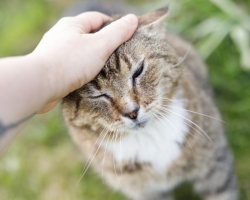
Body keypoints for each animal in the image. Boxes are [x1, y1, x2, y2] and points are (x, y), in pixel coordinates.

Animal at [61, 6, 237, 200]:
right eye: (98, 96)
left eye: (138, 71)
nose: (132, 112)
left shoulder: (215, 164)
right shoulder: (145, 191)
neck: (150, 137)